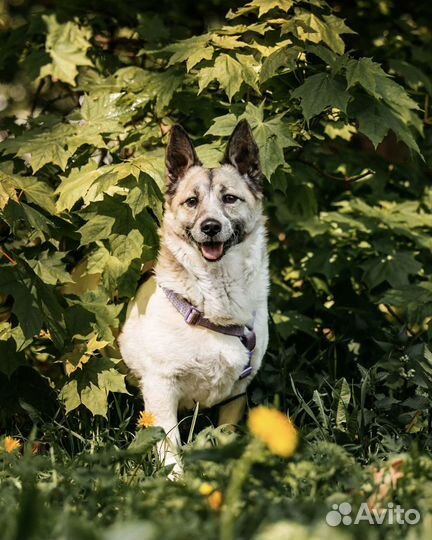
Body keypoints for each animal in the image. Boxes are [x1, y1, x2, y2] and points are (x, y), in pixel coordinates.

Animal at [116, 119, 268, 472]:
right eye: (191, 202)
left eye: (230, 198)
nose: (210, 226)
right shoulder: (161, 389)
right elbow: (170, 446)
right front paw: (177, 481)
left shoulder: (237, 392)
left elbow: (224, 438)